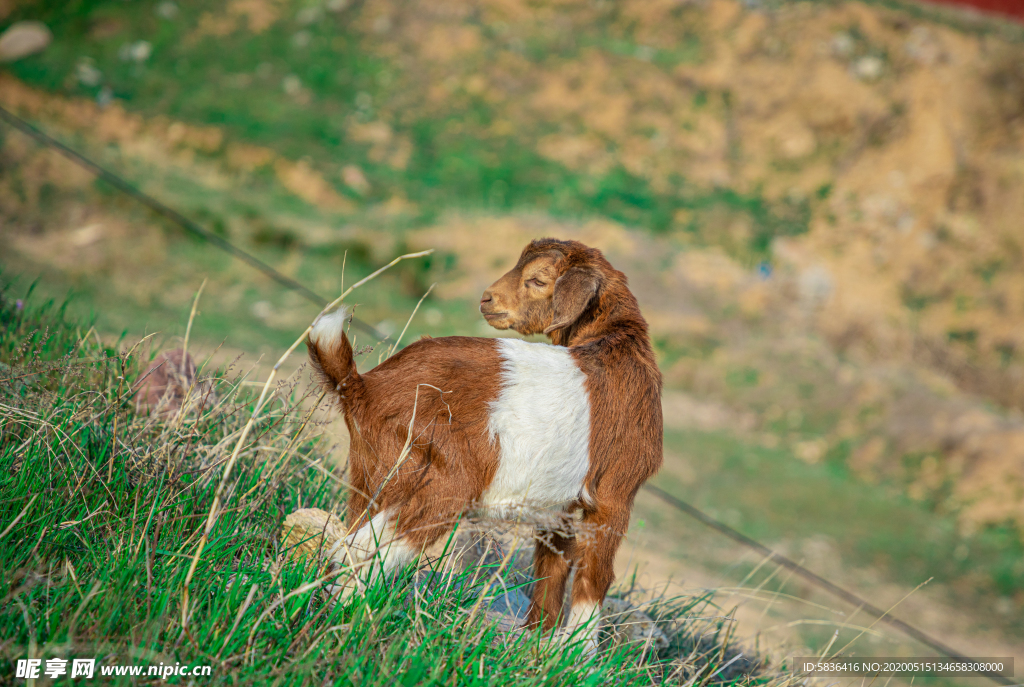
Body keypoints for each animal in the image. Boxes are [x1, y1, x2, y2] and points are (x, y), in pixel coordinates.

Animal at [305, 237, 663, 651]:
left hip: (373, 474)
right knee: (366, 547)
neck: (618, 344)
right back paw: (352, 623)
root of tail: (364, 386)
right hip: (442, 478)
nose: (486, 299)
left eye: (537, 280)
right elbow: (595, 577)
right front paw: (577, 654)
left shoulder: (559, 506)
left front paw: (537, 642)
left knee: (353, 533)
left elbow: (552, 569)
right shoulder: (614, 497)